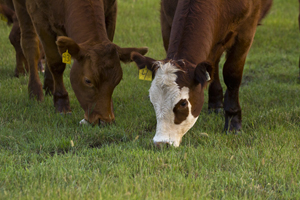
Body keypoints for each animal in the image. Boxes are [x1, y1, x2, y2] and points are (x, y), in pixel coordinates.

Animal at [2, 0, 148, 125]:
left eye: (117, 81)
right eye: (88, 81)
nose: (104, 120)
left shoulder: (112, 10)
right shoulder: (39, 16)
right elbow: (56, 63)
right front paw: (61, 104)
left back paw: (49, 85)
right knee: (30, 43)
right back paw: (35, 91)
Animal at [131, 0, 272, 147]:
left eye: (183, 103)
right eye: (152, 101)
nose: (161, 143)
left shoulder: (246, 30)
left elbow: (232, 75)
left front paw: (233, 123)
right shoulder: (166, 18)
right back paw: (215, 104)